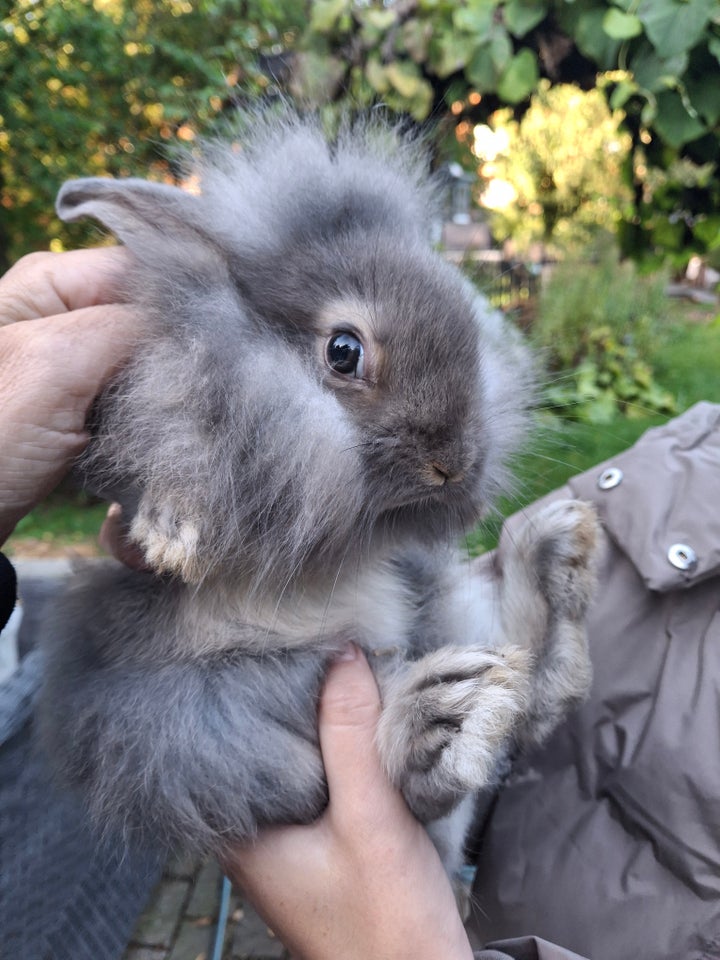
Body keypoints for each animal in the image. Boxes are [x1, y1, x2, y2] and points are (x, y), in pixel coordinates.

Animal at [40, 112, 600, 876]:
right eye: (343, 350)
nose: (452, 463)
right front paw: (172, 531)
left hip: (431, 607)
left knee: (527, 698)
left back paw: (553, 556)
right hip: (192, 722)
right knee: (387, 780)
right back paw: (441, 720)